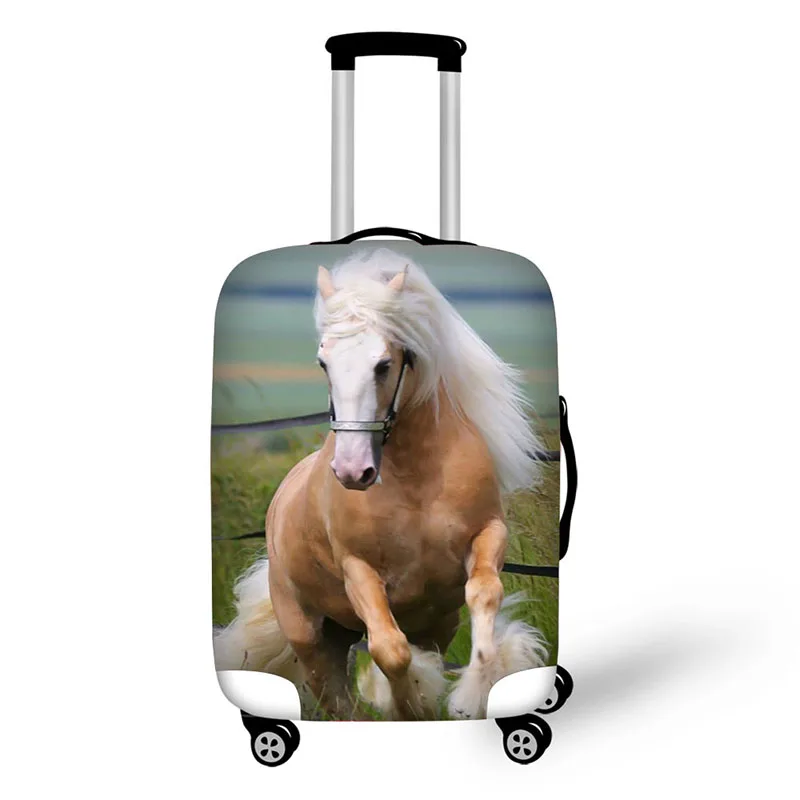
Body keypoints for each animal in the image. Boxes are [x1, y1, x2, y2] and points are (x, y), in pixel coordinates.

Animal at [214, 248, 549, 720]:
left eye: (383, 364)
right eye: (323, 363)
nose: (353, 472)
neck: (416, 483)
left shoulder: (486, 537)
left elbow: (484, 594)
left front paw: (471, 695)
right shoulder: (358, 570)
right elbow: (391, 651)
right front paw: (410, 702)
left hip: (415, 625)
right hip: (311, 638)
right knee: (339, 702)